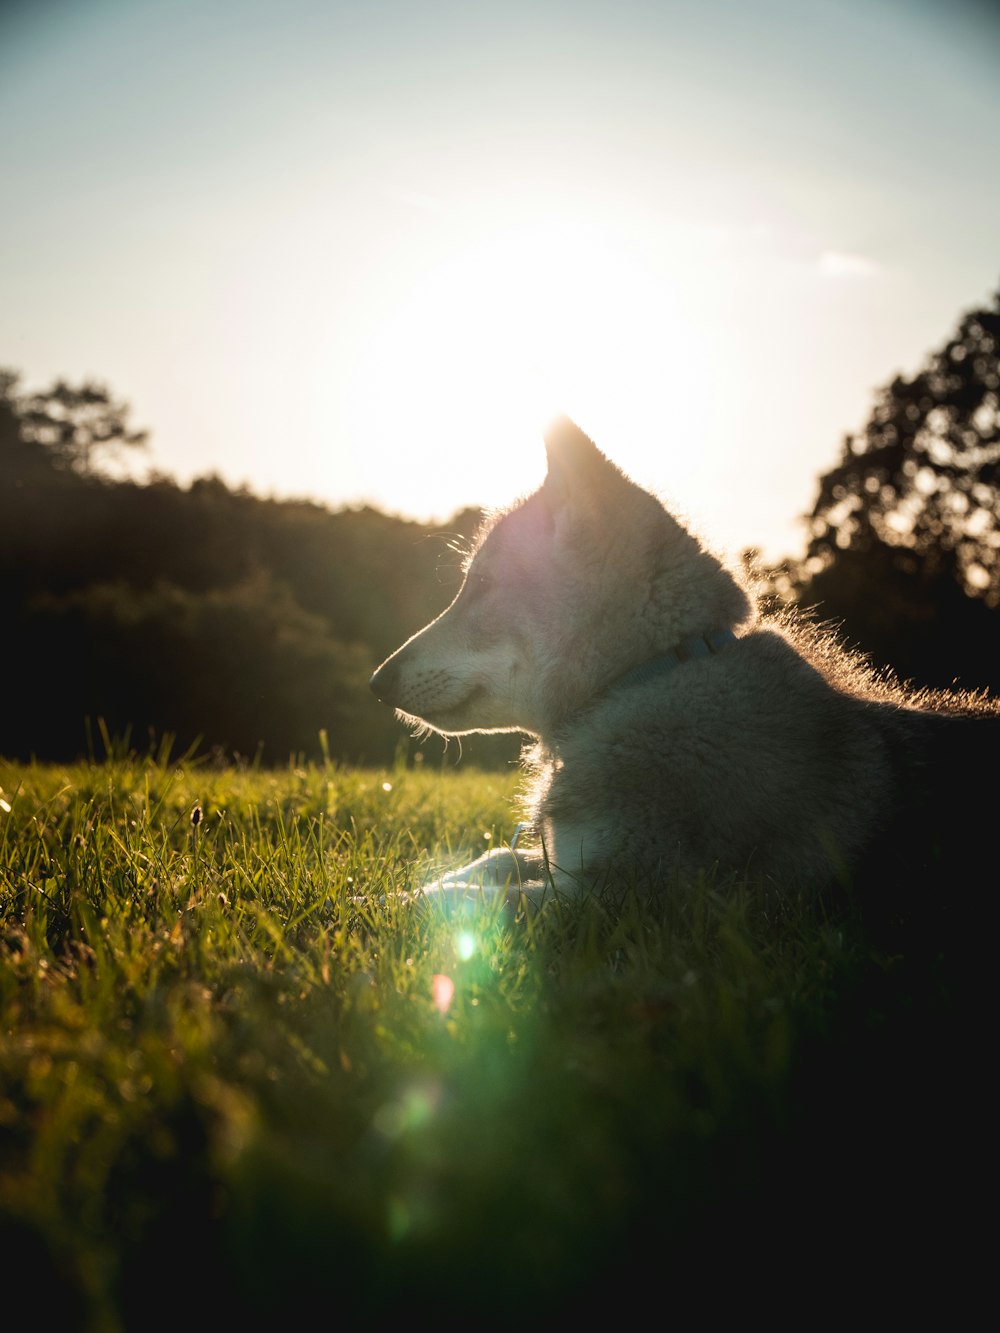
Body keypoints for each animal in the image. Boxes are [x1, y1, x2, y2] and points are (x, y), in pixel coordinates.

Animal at [370, 415, 1000, 927]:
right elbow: (493, 859)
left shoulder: (622, 901)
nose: (376, 683)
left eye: (479, 585)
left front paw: (370, 906)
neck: (648, 674)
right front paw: (401, 885)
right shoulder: (567, 863)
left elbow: (470, 902)